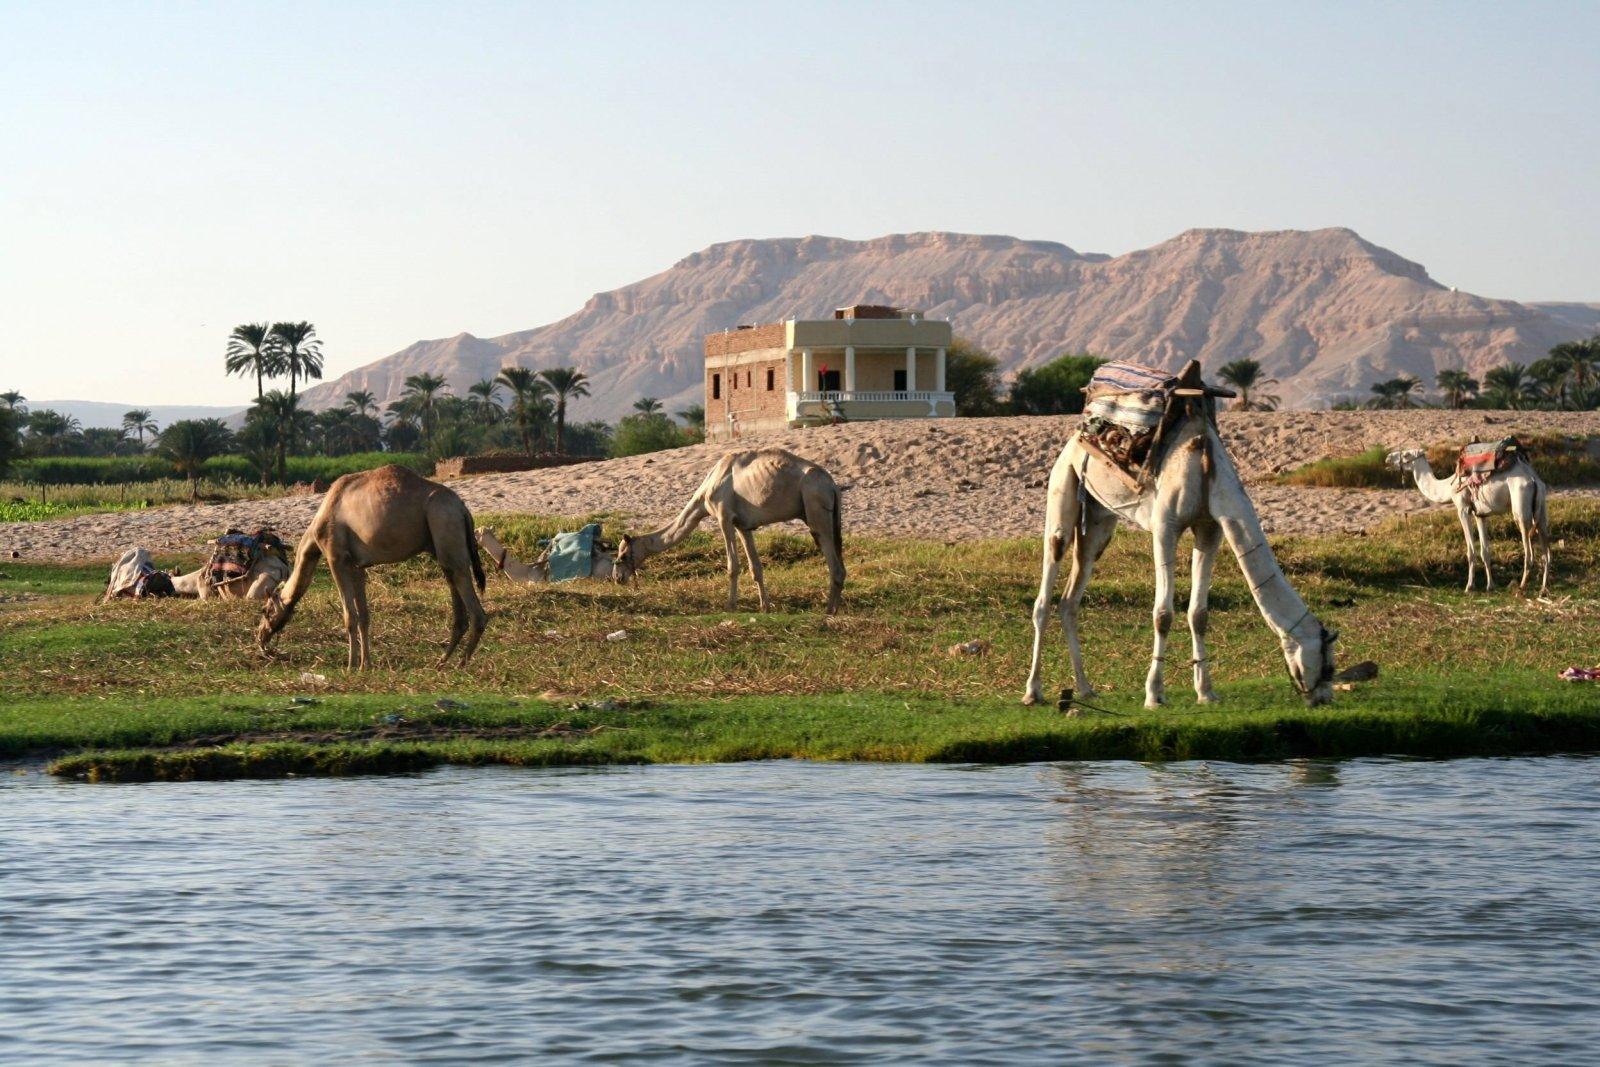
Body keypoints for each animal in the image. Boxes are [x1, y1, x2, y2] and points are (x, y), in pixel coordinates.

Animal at [258, 465, 488, 669]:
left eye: (265, 610)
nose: (260, 637)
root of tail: (463, 509)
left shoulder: (336, 558)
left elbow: (350, 616)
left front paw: (350, 665)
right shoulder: (357, 566)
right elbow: (364, 617)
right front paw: (365, 665)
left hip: (444, 523)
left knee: (474, 605)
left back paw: (461, 664)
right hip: (441, 544)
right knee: (455, 593)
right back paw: (441, 662)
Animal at [613, 448, 845, 614]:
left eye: (623, 555)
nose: (617, 577)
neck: (706, 491)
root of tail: (832, 485)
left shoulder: (724, 517)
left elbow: (733, 565)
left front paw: (730, 606)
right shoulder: (743, 525)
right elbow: (755, 567)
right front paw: (764, 607)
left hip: (815, 505)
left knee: (833, 562)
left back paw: (829, 610)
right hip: (831, 516)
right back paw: (833, 607)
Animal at [1023, 361, 1338, 709]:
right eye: (1328, 666)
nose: (1323, 697)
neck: (1207, 470)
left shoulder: (1210, 529)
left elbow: (1199, 614)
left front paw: (1206, 692)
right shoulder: (1165, 527)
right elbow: (1163, 614)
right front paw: (1154, 695)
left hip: (1098, 519)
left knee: (1070, 598)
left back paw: (1085, 688)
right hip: (1062, 484)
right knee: (1047, 583)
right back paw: (1032, 691)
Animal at [1385, 447, 1550, 596]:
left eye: (1406, 454)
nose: (1388, 457)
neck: (1449, 486)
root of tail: (1534, 480)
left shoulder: (1463, 509)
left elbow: (1471, 551)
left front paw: (1469, 586)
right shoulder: (1481, 515)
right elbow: (1485, 552)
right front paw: (1490, 586)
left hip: (1520, 506)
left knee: (1529, 550)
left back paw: (1521, 587)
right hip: (1541, 508)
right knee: (1546, 550)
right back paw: (1543, 589)